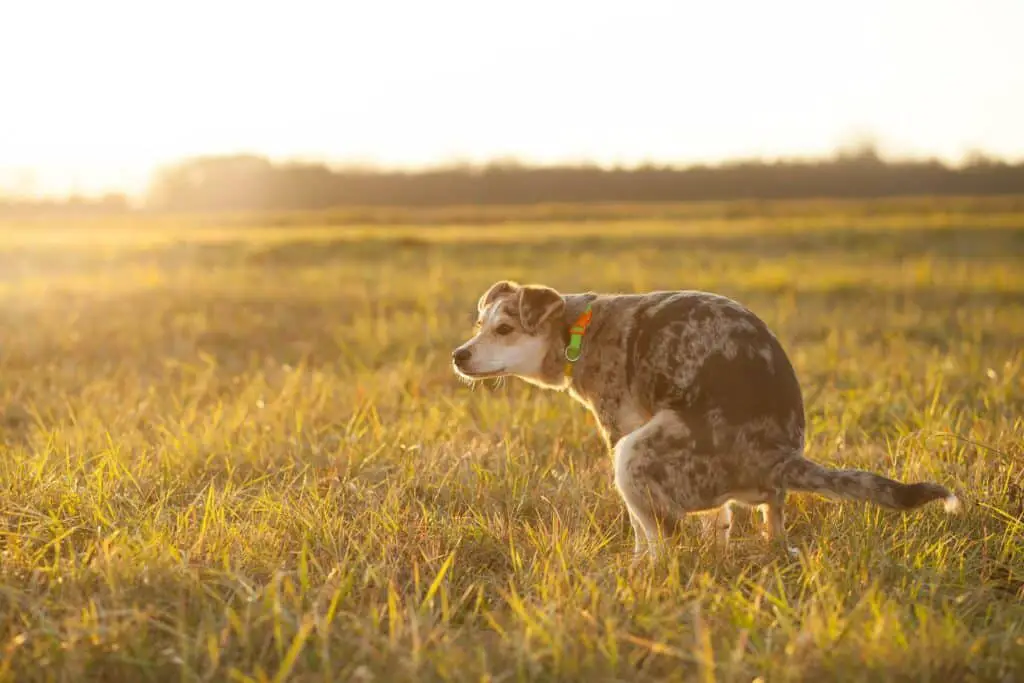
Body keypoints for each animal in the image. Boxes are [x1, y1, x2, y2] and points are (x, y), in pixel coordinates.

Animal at [448, 280, 958, 557]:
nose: (458, 355)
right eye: (479, 325)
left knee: (665, 538)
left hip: (635, 454)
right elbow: (720, 522)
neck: (578, 329)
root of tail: (779, 456)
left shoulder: (620, 429)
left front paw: (636, 564)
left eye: (505, 329)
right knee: (767, 521)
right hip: (753, 495)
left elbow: (641, 529)